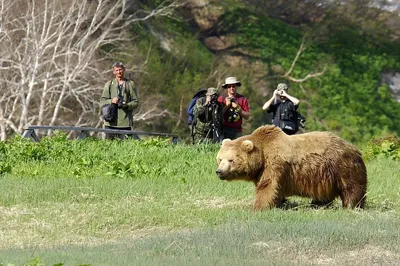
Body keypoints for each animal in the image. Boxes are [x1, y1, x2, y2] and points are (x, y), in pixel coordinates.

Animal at [217, 125, 368, 211]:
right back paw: (317, 204)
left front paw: (259, 207)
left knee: (352, 188)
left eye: (231, 160)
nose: (219, 171)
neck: (262, 154)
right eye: (219, 159)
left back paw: (351, 206)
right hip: (325, 176)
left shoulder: (274, 164)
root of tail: (354, 147)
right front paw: (280, 203)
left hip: (342, 166)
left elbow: (267, 186)